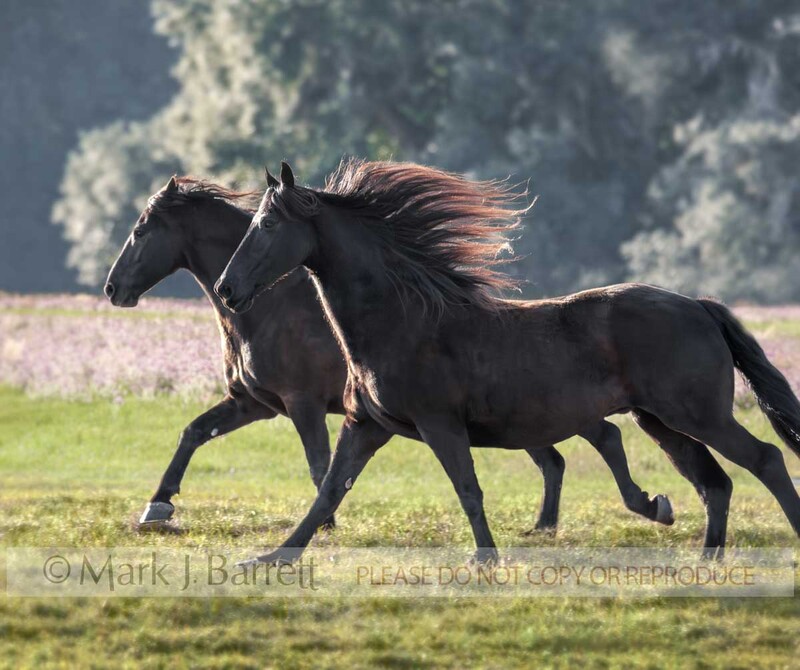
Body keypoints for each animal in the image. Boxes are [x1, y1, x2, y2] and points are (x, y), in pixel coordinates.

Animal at [102, 175, 657, 533]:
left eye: (141, 229)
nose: (112, 288)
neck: (269, 309)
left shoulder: (302, 405)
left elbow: (319, 465)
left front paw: (325, 525)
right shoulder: (255, 403)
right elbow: (194, 433)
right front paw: (157, 508)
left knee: (592, 441)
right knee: (564, 454)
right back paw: (546, 525)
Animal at [216, 159, 800, 564]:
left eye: (267, 225)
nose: (226, 289)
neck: (401, 320)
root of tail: (699, 305)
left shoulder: (439, 424)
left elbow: (468, 490)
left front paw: (485, 559)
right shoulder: (366, 424)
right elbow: (328, 493)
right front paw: (270, 558)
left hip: (698, 414)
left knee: (765, 459)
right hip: (660, 421)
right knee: (714, 482)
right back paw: (700, 553)